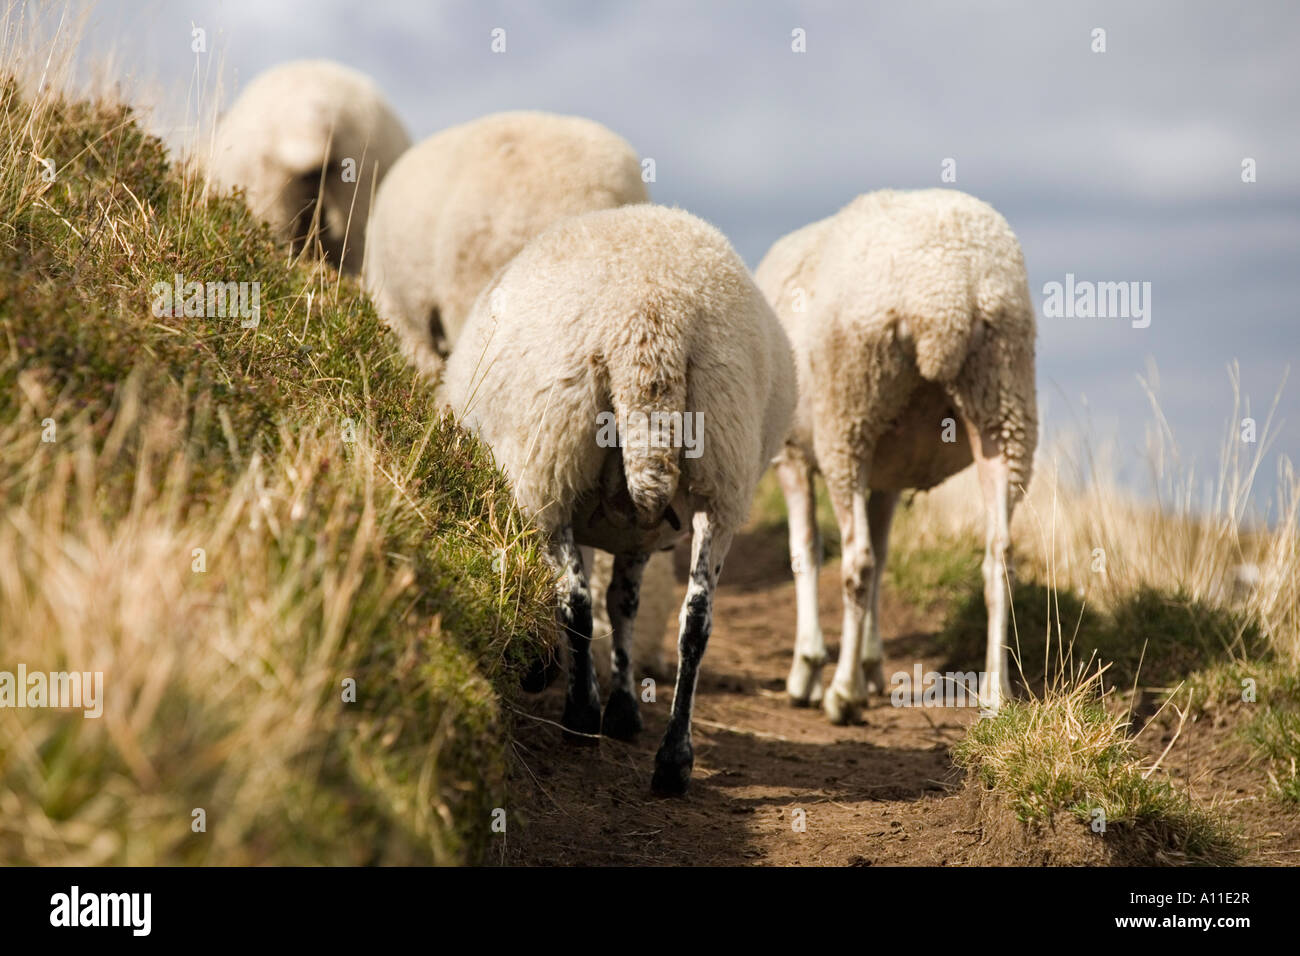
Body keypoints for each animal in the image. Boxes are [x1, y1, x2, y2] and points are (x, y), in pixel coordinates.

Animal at [441, 205, 795, 796]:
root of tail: (649, 320)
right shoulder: (640, 536)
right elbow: (624, 603)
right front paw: (626, 709)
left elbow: (590, 603)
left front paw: (587, 699)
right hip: (723, 472)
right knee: (695, 621)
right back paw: (673, 760)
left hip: (551, 467)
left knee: (575, 602)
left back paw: (582, 718)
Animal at [754, 188, 1034, 723]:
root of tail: (947, 296)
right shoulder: (889, 474)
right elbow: (885, 556)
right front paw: (871, 662)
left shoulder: (791, 457)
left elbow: (806, 552)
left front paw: (809, 668)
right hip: (1002, 400)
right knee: (1000, 556)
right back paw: (996, 693)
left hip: (848, 415)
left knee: (856, 560)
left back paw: (842, 694)